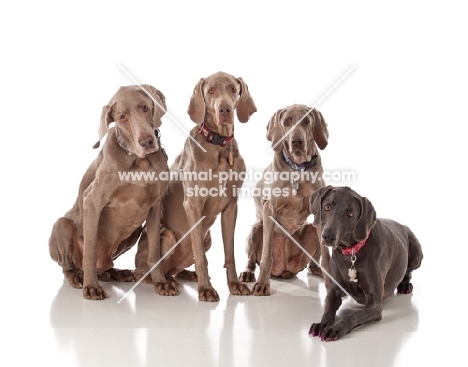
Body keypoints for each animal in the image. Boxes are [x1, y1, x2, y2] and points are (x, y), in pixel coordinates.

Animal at [49, 85, 170, 300]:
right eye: (122, 117)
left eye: (145, 107)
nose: (147, 142)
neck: (139, 161)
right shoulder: (92, 200)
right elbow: (89, 251)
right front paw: (91, 287)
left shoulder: (155, 205)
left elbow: (154, 251)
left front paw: (160, 282)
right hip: (61, 226)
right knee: (69, 265)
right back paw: (78, 278)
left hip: (134, 232)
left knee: (106, 268)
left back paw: (117, 272)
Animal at [133, 71, 258, 302]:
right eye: (210, 91)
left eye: (233, 89)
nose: (224, 110)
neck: (219, 146)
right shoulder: (193, 203)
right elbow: (200, 254)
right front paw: (206, 289)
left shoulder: (231, 206)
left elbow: (229, 253)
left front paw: (234, 284)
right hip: (167, 236)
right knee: (143, 271)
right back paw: (164, 282)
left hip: (208, 237)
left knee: (176, 268)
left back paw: (186, 275)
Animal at [239, 105, 330, 296]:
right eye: (286, 122)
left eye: (306, 121)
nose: (297, 141)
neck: (298, 169)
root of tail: (285, 270)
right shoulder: (270, 210)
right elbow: (266, 257)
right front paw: (262, 285)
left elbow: (326, 257)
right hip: (256, 229)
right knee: (252, 259)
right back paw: (248, 273)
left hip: (312, 229)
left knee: (313, 263)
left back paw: (317, 271)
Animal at [308, 187, 422, 342]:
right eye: (327, 207)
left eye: (350, 213)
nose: (328, 237)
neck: (351, 253)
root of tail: (401, 224)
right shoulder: (333, 292)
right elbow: (328, 310)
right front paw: (322, 324)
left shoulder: (375, 304)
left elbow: (353, 316)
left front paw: (335, 328)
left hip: (416, 252)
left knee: (408, 270)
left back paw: (405, 285)